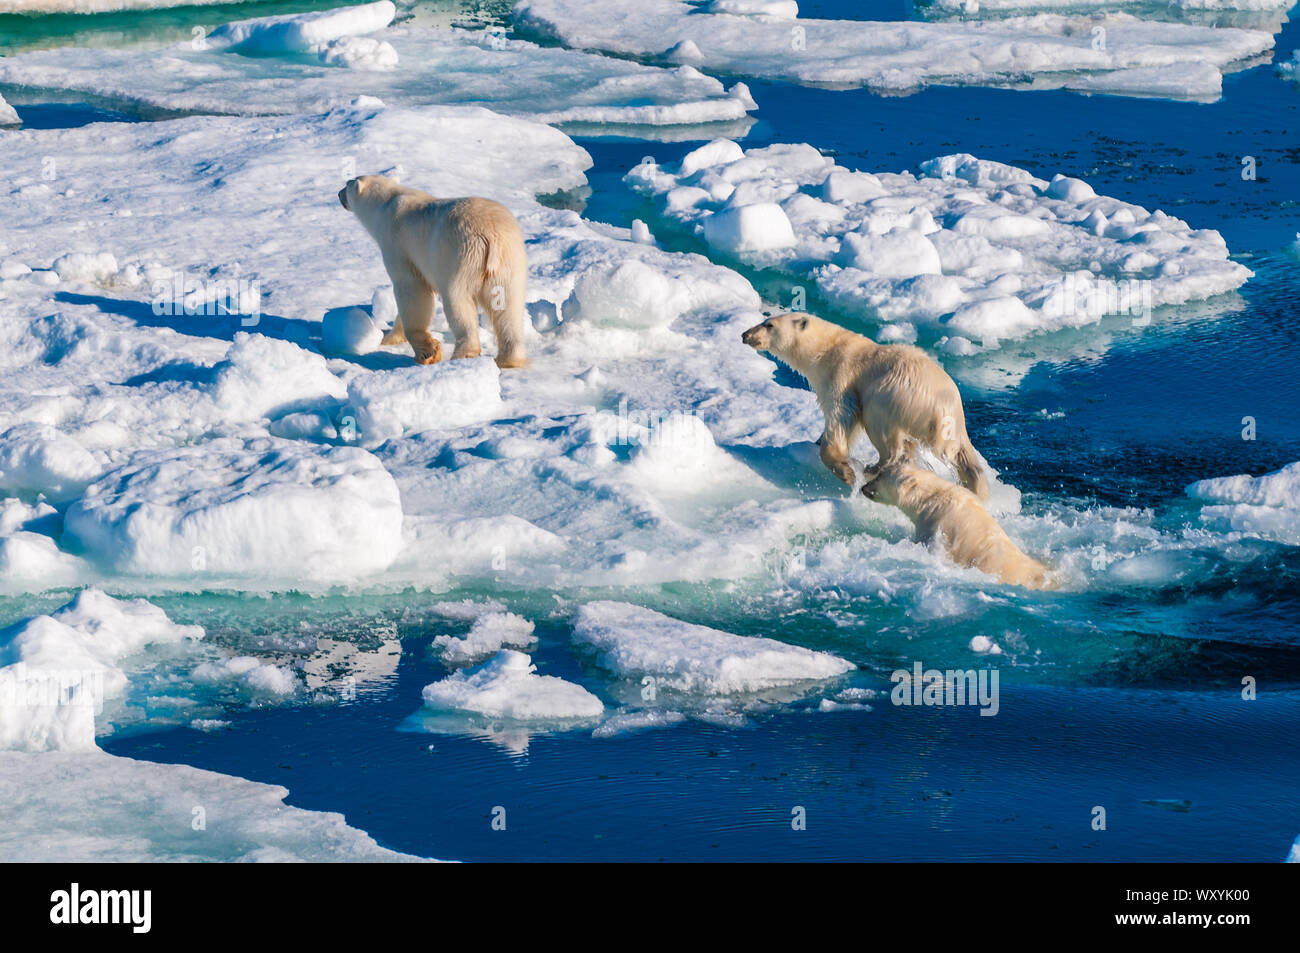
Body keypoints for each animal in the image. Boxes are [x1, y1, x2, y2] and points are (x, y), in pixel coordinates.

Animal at [338, 174, 528, 368]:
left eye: (347, 184)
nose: (339, 194)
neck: (386, 205)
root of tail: (491, 236)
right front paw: (391, 338)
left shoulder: (398, 245)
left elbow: (411, 289)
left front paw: (426, 352)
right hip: (510, 262)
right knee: (508, 306)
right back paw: (509, 360)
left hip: (460, 255)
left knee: (458, 300)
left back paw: (463, 355)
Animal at [741, 312, 989, 498]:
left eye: (768, 324)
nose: (745, 334)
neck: (826, 349)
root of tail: (949, 407)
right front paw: (815, 442)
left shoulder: (843, 375)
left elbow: (841, 416)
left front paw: (846, 471)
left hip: (895, 394)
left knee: (884, 429)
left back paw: (875, 467)